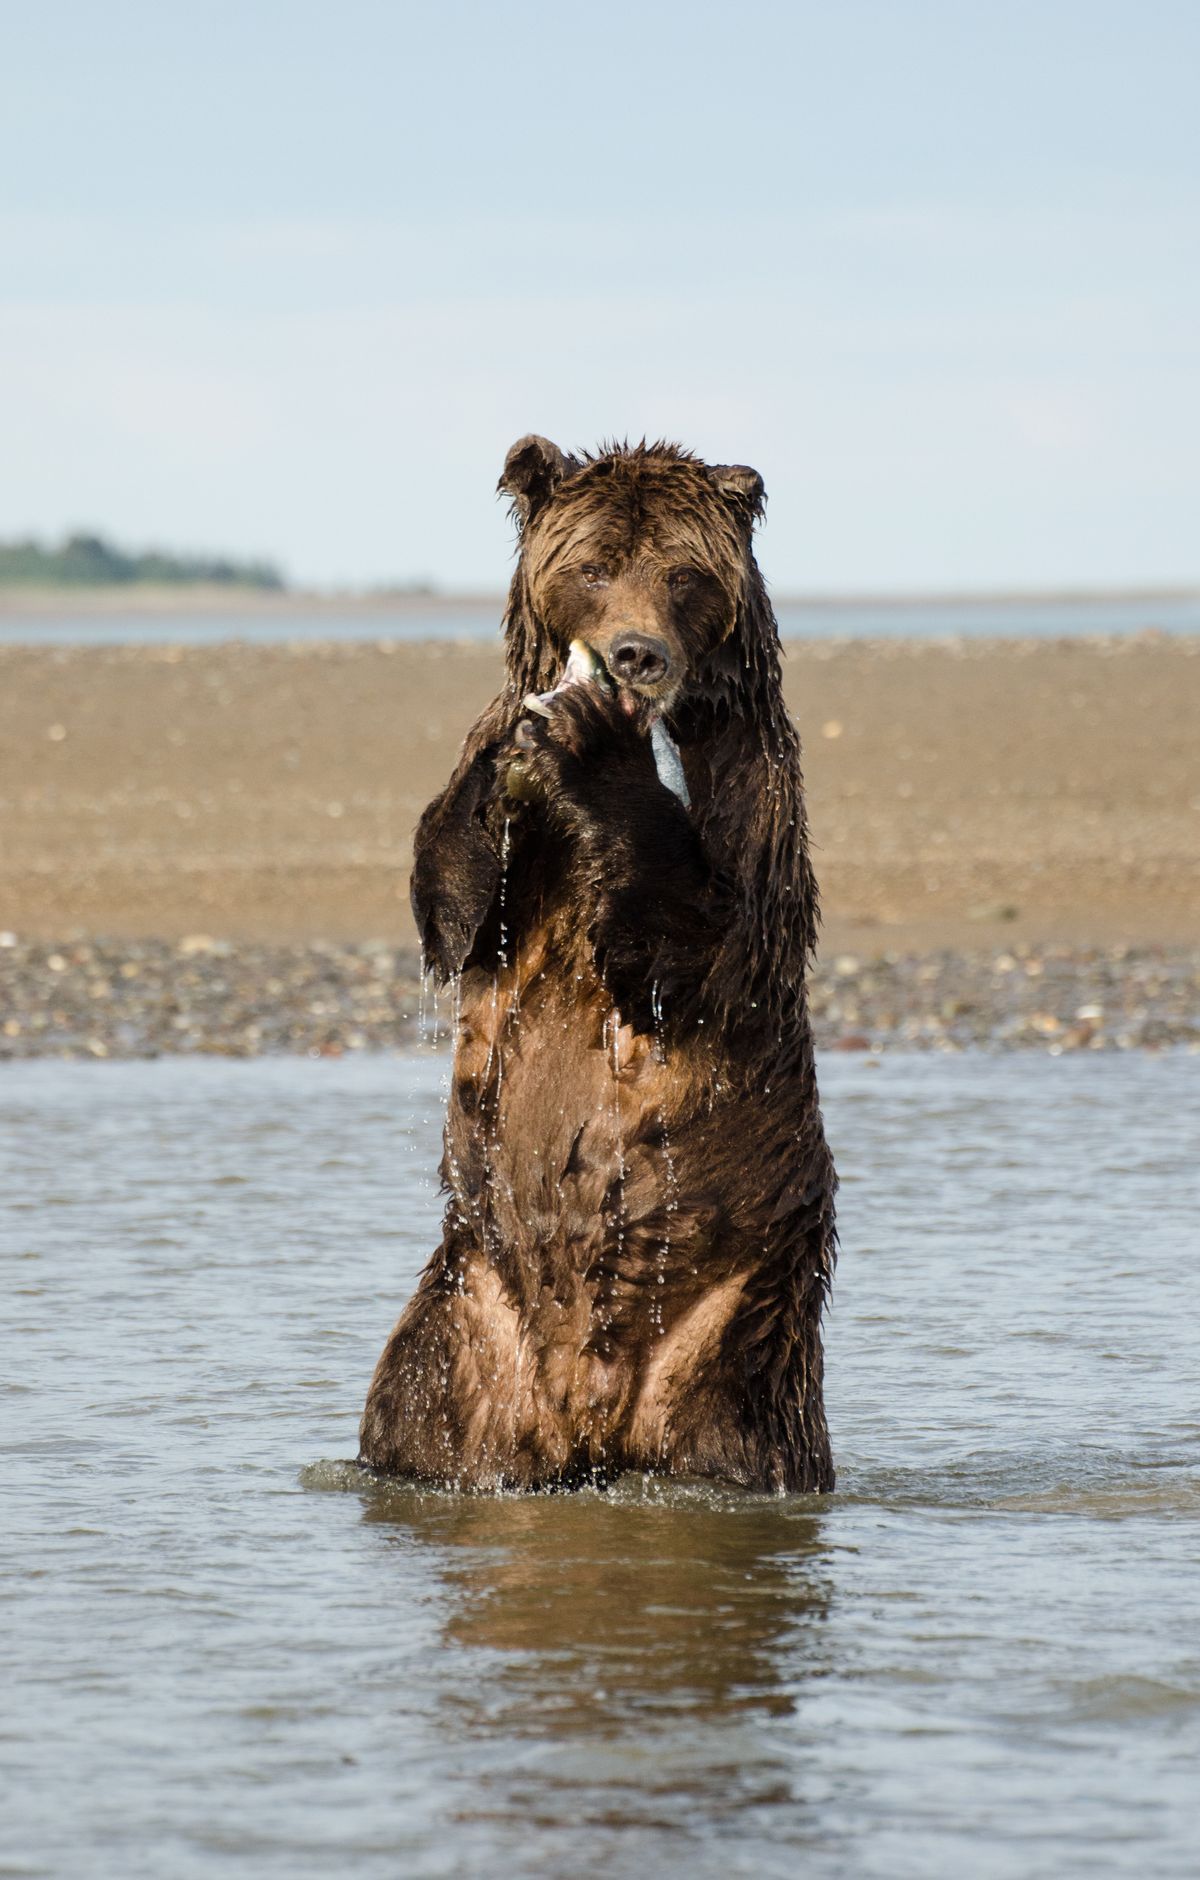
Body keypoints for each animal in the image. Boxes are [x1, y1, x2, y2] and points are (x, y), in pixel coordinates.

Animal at [358, 437, 837, 1493]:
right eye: (592, 567)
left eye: (684, 574)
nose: (634, 653)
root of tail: (581, 1421)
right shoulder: (504, 882)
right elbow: (450, 898)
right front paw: (514, 740)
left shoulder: (760, 812)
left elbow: (712, 941)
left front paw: (595, 739)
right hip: (465, 1317)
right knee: (408, 1415)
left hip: (736, 1329)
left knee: (746, 1441)